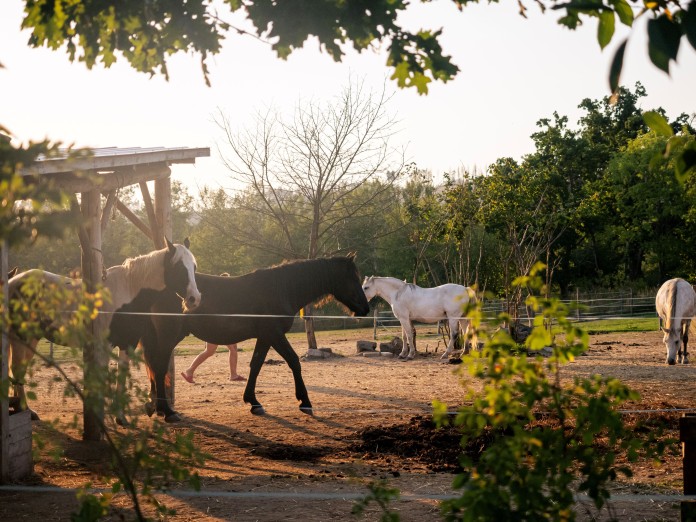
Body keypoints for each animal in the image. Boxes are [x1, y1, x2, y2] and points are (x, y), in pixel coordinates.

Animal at [139, 254, 372, 420]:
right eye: (353, 278)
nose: (365, 308)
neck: (282, 288)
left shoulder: (265, 337)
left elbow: (256, 365)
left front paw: (253, 402)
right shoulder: (274, 334)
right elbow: (294, 361)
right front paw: (304, 401)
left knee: (155, 367)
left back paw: (154, 407)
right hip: (169, 336)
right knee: (159, 367)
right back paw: (167, 411)